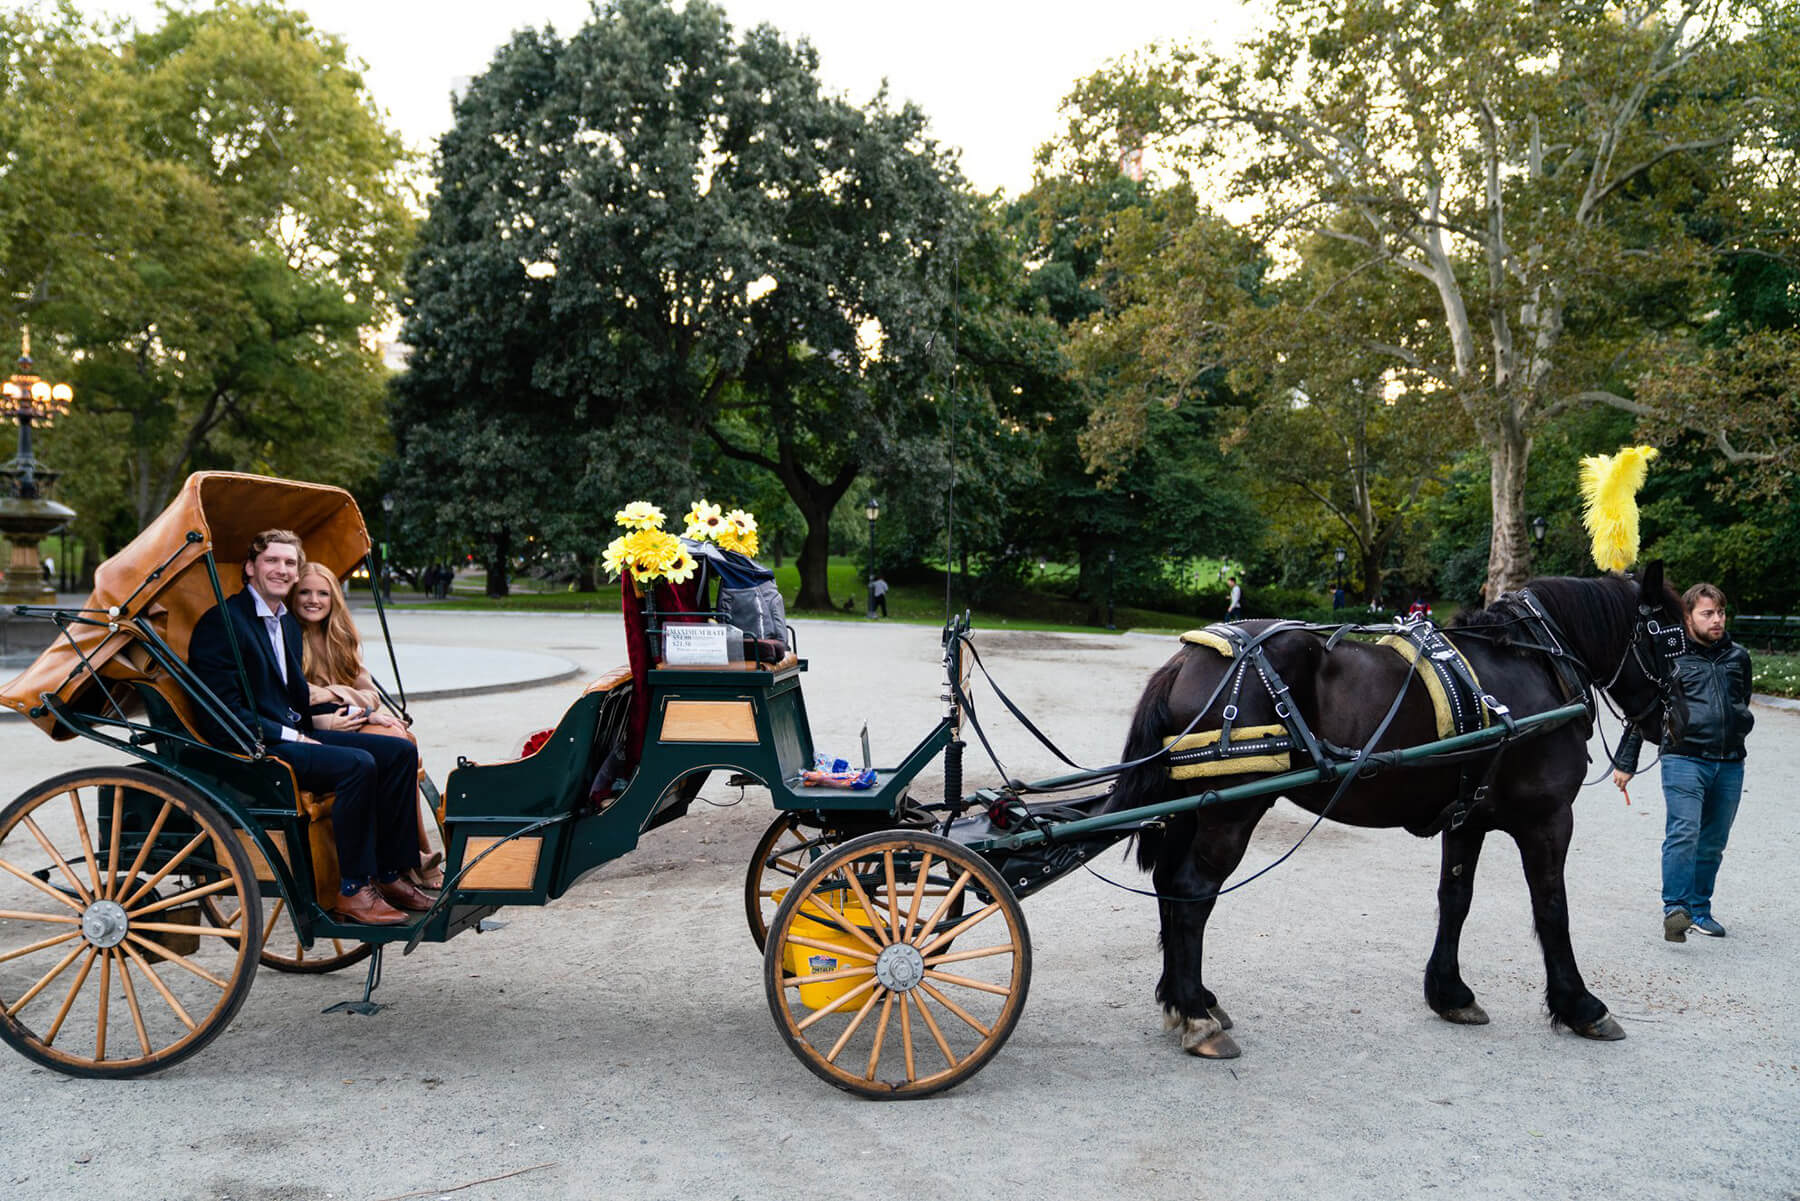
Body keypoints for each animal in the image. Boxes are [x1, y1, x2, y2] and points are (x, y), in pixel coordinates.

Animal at [1108, 568, 1684, 1058]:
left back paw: (1188, 1000)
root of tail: (1188, 657)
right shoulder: (1547, 818)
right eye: (1675, 640)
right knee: (1191, 893)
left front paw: (1450, 992)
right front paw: (1580, 1004)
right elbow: (1552, 908)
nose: (1684, 720)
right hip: (1231, 812)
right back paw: (1195, 1016)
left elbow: (1456, 899)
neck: (1536, 662)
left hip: (1191, 810)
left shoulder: (1468, 818)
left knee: (1168, 886)